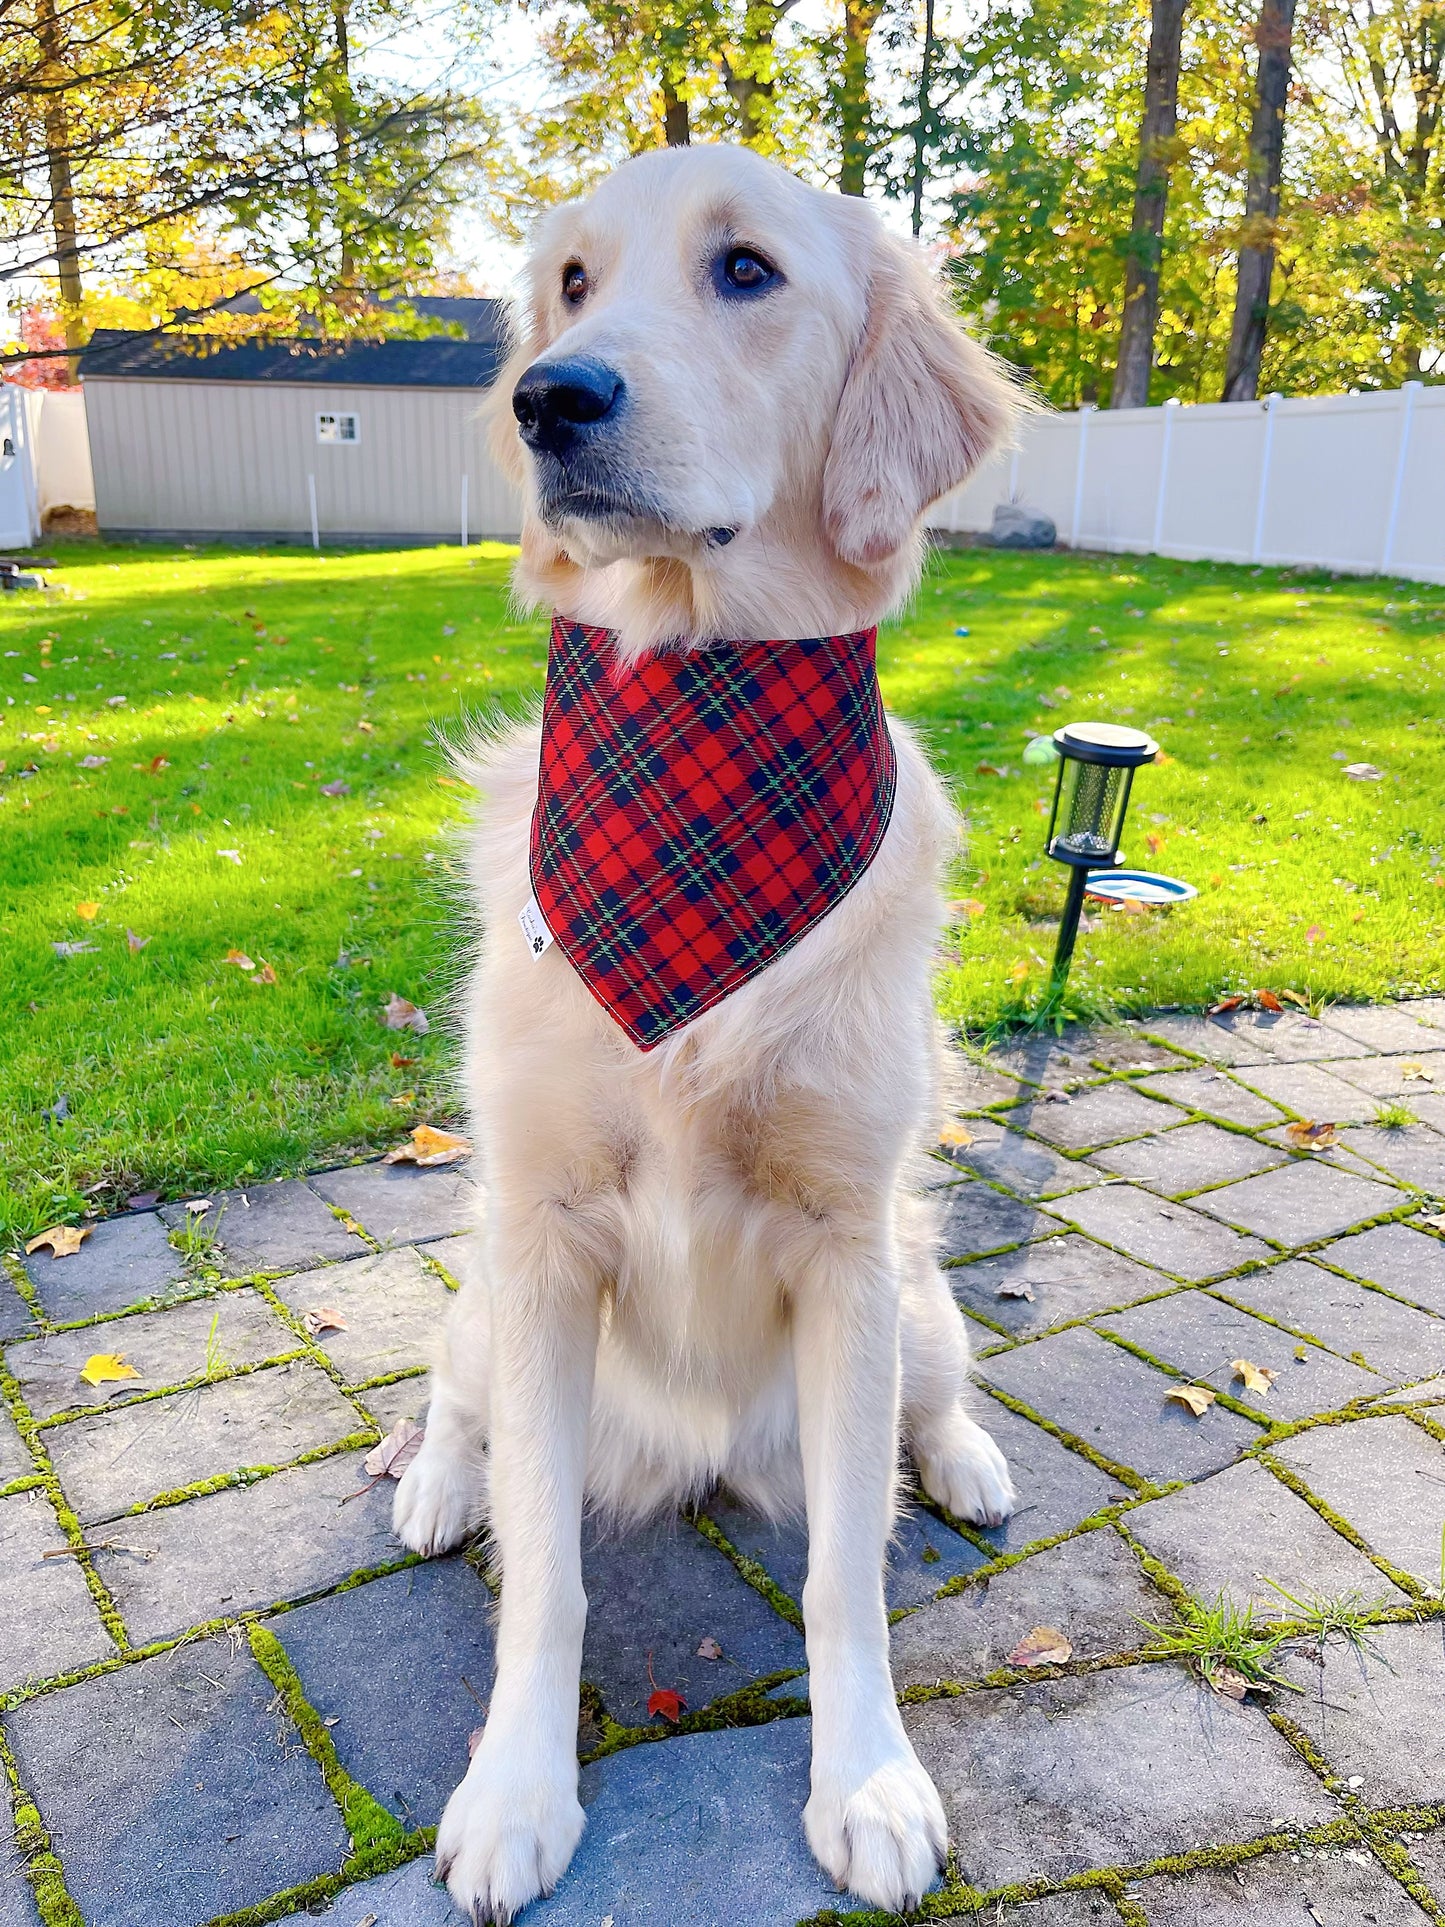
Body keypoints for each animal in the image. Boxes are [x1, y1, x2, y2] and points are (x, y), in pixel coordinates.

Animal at [398, 142, 1017, 1919]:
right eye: (571, 285)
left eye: (746, 270)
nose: (550, 397)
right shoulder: (538, 1232)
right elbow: (541, 1572)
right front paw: (513, 1792)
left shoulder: (846, 1243)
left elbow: (846, 1577)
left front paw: (866, 1775)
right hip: (482, 1296)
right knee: (451, 1402)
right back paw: (434, 1478)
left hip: (917, 1300)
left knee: (933, 1404)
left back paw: (967, 1459)